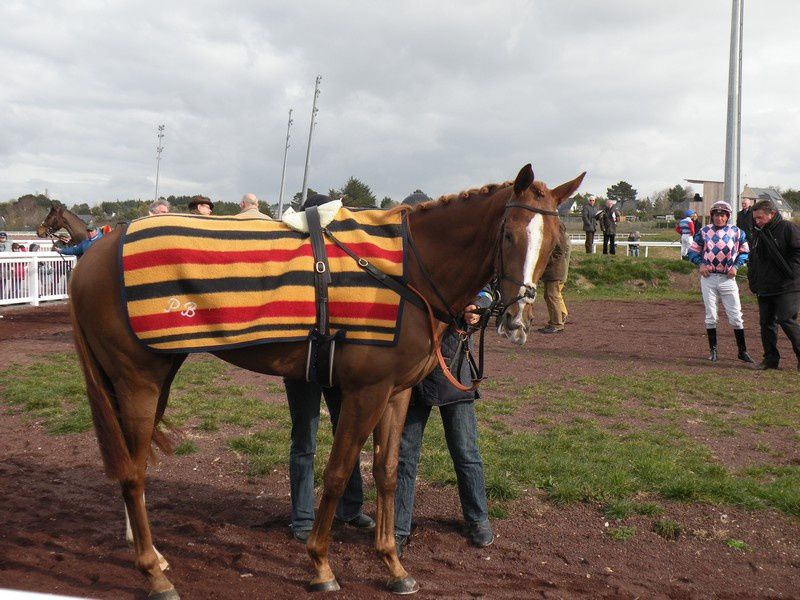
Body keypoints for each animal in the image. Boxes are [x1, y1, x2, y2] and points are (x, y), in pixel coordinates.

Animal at [70, 163, 580, 596]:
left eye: (554, 240)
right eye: (509, 234)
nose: (516, 319)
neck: (405, 272)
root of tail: (96, 252)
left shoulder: (395, 394)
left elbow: (387, 472)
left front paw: (393, 564)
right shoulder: (364, 393)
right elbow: (336, 473)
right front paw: (320, 564)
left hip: (154, 376)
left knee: (133, 466)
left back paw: (152, 553)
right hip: (137, 380)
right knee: (132, 472)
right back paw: (154, 574)